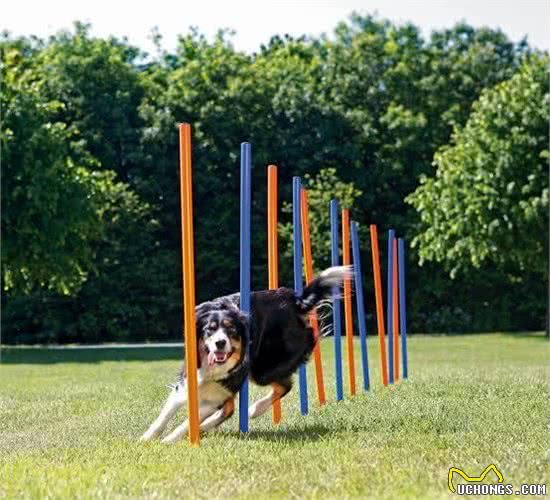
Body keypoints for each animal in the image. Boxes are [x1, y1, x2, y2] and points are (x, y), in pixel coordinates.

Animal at [142, 266, 350, 442]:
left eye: (232, 331)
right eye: (210, 330)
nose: (220, 343)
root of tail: (295, 301)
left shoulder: (218, 394)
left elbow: (188, 422)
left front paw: (170, 439)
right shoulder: (188, 383)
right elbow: (165, 414)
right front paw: (147, 438)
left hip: (262, 370)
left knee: (284, 386)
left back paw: (254, 410)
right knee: (231, 408)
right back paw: (209, 426)